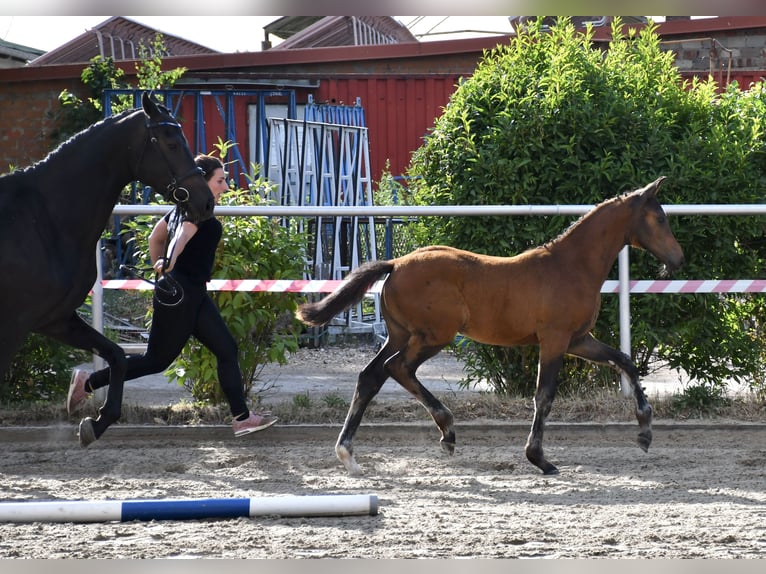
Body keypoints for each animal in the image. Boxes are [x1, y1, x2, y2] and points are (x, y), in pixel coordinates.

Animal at [0, 92, 216, 448]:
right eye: (171, 143)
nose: (206, 202)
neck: (42, 220)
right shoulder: (14, 324)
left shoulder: (54, 319)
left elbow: (116, 354)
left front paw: (97, 422)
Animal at [296, 177, 688, 476]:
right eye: (659, 218)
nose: (678, 258)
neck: (571, 266)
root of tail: (396, 264)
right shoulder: (555, 339)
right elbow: (544, 396)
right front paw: (540, 459)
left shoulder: (578, 339)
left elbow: (625, 360)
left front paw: (645, 432)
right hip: (433, 336)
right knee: (397, 369)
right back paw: (447, 429)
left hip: (401, 334)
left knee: (371, 376)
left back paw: (349, 453)